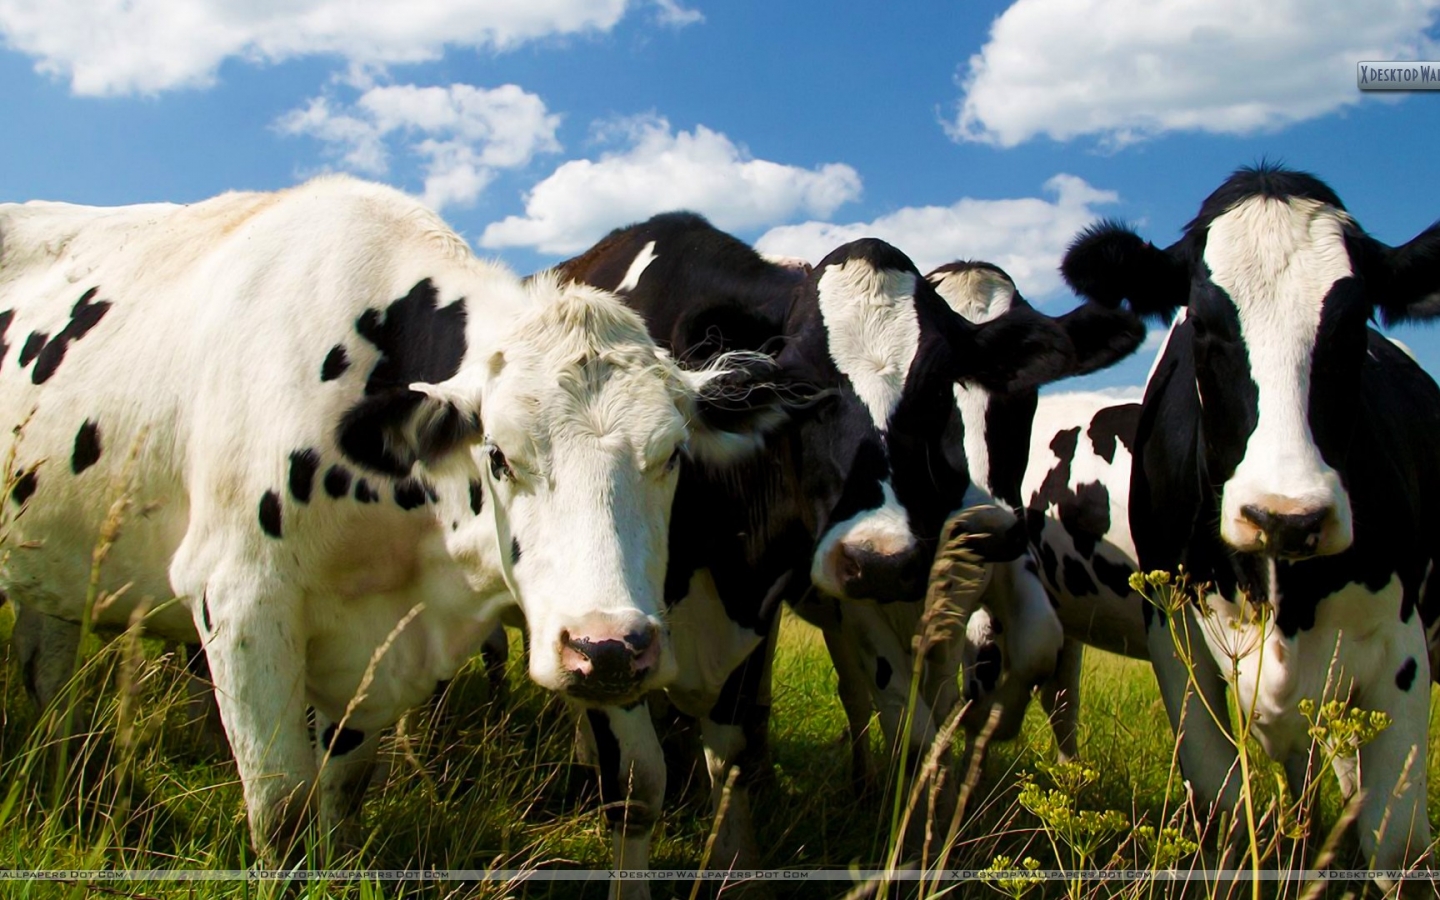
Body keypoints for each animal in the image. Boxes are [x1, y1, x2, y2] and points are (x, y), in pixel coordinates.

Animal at [0, 177, 796, 868]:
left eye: (672, 455)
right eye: (497, 454)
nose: (605, 651)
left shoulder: (375, 646)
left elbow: (344, 787)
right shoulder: (239, 600)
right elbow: (283, 814)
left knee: (45, 670)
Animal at [1061, 163, 1440, 880]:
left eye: (1353, 325)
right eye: (1204, 325)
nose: (1287, 517)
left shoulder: (1400, 647)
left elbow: (1398, 843)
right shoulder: (1174, 637)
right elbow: (1224, 812)